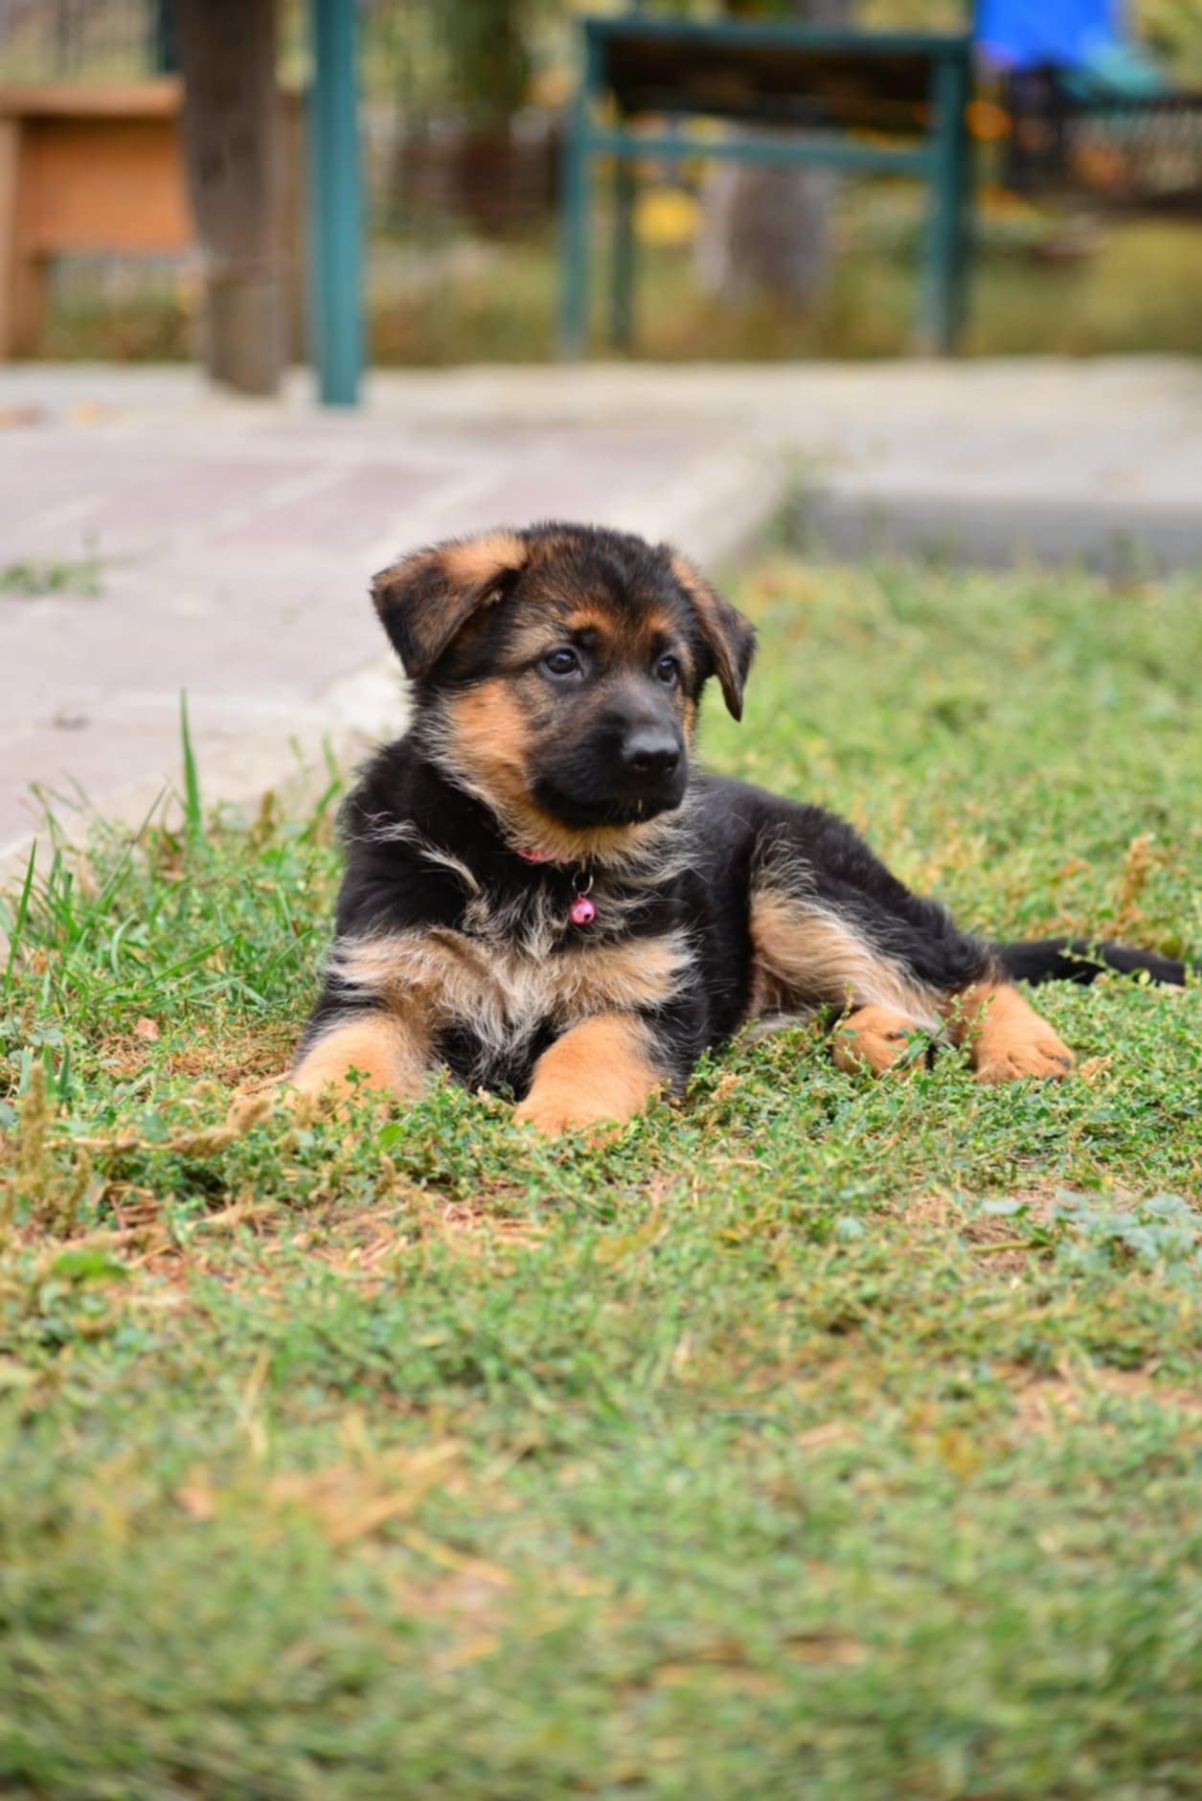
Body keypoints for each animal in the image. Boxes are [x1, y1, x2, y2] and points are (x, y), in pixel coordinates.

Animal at [293, 525, 1182, 1131]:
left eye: (668, 670)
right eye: (561, 661)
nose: (659, 756)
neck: (528, 860)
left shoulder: (643, 1003)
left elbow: (585, 1055)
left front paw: (556, 1122)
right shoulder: (378, 987)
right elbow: (344, 1058)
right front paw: (288, 1114)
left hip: (798, 879)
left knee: (961, 966)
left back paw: (1018, 1046)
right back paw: (879, 1038)